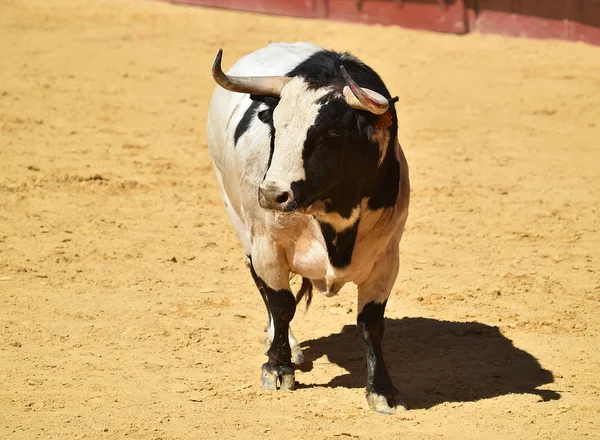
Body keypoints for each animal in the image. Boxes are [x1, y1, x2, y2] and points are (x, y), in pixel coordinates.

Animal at [209, 43, 410, 414]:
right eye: (274, 127)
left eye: (330, 135)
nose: (272, 195)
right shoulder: (267, 247)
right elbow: (281, 304)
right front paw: (278, 367)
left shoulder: (388, 260)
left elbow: (371, 324)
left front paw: (382, 390)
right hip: (239, 221)